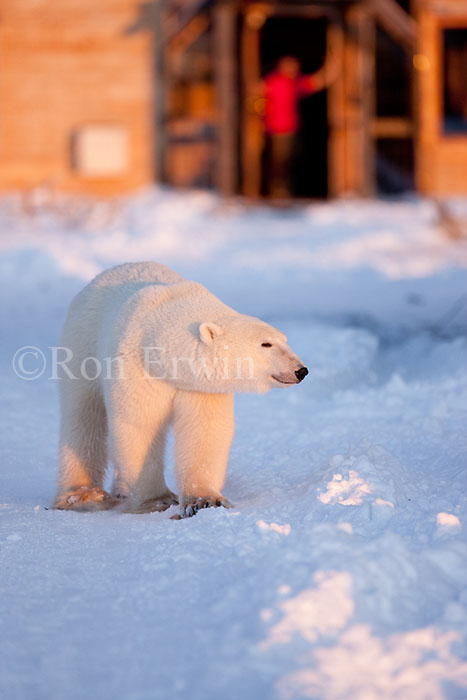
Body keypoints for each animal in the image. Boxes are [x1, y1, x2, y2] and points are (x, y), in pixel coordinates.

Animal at [54, 262, 308, 516]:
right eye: (266, 343)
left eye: (285, 340)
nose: (301, 370)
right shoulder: (138, 367)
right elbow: (141, 424)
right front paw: (158, 500)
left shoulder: (199, 384)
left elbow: (204, 429)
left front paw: (204, 500)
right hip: (82, 346)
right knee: (84, 415)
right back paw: (83, 495)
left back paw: (120, 491)